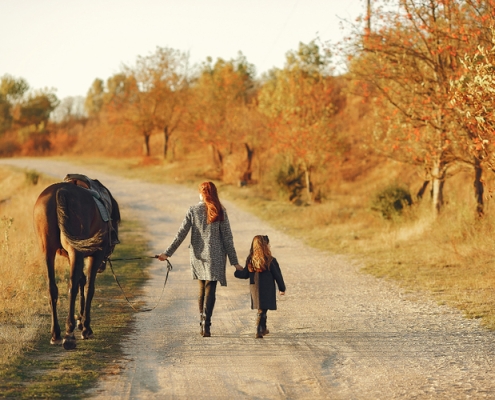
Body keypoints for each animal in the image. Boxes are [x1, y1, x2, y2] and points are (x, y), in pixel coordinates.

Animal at [33, 178, 120, 350]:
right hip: (76, 251)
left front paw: (80, 320)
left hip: (48, 251)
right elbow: (89, 287)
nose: (102, 267)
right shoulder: (94, 255)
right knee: (71, 287)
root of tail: (60, 190)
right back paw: (69, 335)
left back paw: (56, 334)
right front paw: (85, 327)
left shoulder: (71, 256)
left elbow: (81, 280)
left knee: (52, 288)